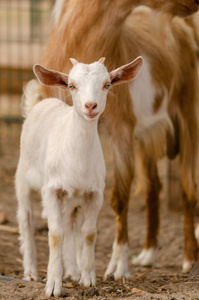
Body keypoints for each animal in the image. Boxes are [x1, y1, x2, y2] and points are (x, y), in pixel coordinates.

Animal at [15, 56, 143, 298]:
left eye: (107, 84)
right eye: (72, 86)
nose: (90, 106)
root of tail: (39, 104)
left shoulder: (95, 193)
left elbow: (89, 233)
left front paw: (88, 278)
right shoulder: (51, 189)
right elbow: (55, 234)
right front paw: (53, 285)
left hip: (73, 195)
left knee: (69, 221)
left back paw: (73, 271)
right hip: (24, 177)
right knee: (26, 219)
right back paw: (31, 272)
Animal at [39, 0, 198, 280]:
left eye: (107, 84)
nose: (195, 4)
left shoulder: (122, 128)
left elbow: (120, 196)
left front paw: (118, 266)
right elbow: (77, 205)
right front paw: (77, 266)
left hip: (188, 111)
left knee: (188, 189)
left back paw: (189, 260)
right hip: (146, 136)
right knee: (153, 188)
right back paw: (148, 255)